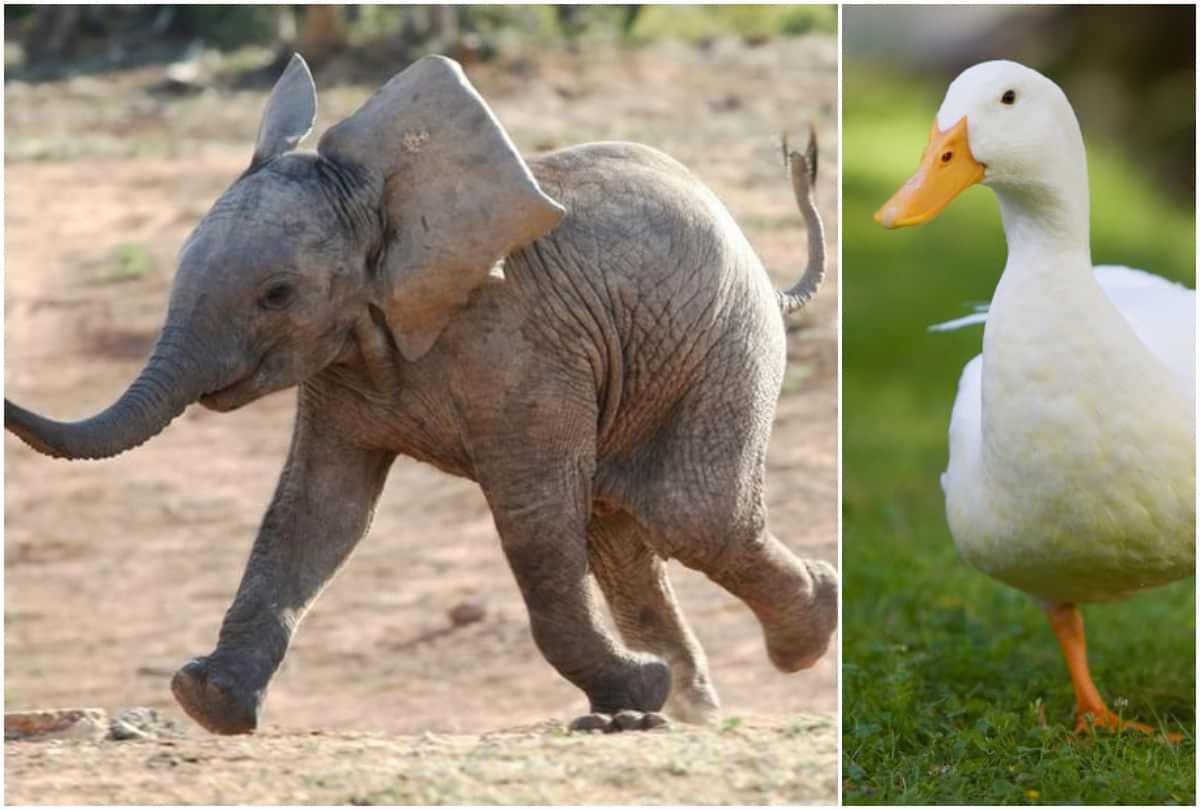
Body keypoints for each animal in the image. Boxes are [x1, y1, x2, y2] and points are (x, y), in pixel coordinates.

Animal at [5, 53, 837, 735]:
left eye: (277, 294)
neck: (383, 207)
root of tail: (768, 275)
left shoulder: (524, 349)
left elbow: (534, 520)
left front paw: (632, 696)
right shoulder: (343, 361)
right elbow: (319, 511)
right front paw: (207, 702)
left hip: (727, 344)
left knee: (688, 515)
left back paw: (803, 634)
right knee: (623, 531)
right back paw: (694, 706)